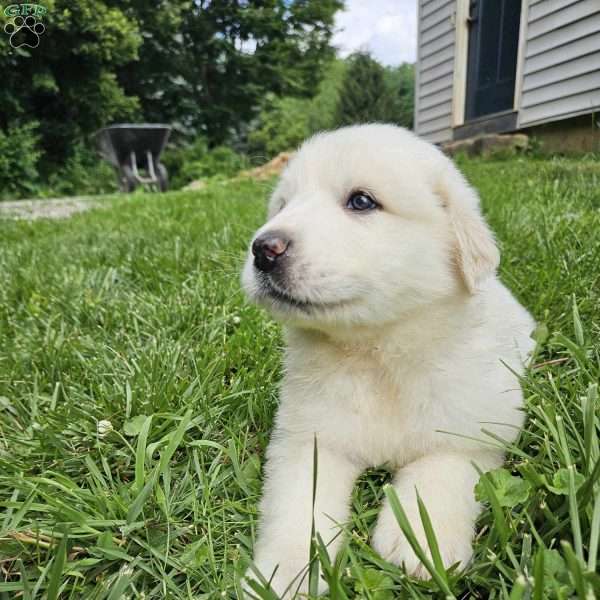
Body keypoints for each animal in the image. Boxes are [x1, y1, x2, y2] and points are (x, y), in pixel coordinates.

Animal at [241, 123, 532, 596]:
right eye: (283, 206)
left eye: (361, 201)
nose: (264, 249)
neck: (377, 353)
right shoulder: (309, 439)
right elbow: (298, 504)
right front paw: (283, 574)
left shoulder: (473, 429)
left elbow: (438, 471)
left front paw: (421, 547)